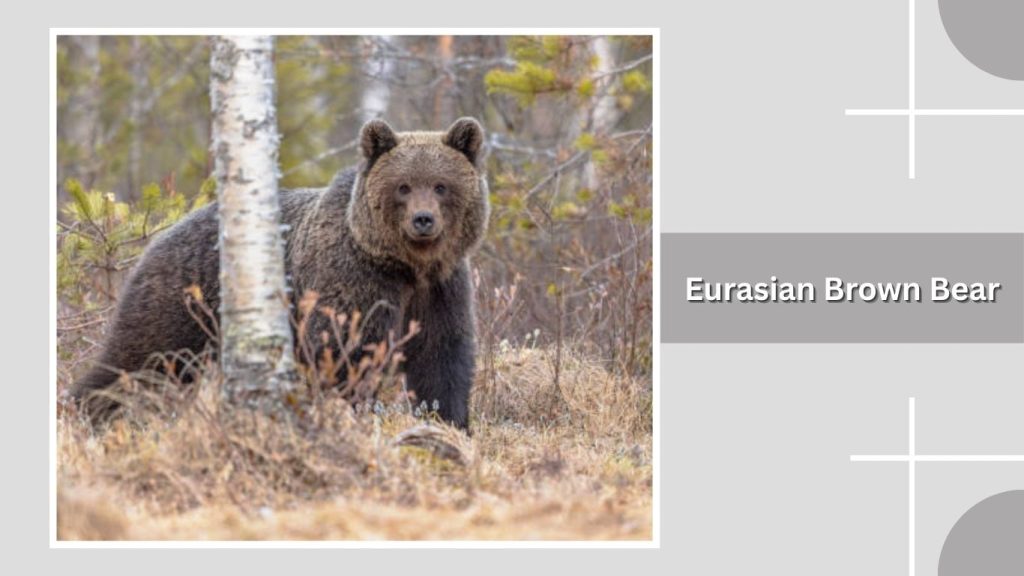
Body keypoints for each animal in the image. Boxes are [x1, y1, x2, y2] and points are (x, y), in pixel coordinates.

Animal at [70, 117, 489, 430]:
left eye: (441, 186)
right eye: (403, 186)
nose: (423, 220)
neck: (406, 265)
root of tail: (160, 236)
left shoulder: (441, 287)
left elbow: (441, 355)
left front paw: (450, 421)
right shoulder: (355, 280)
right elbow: (346, 352)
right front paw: (349, 413)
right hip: (182, 301)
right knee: (139, 359)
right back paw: (85, 409)